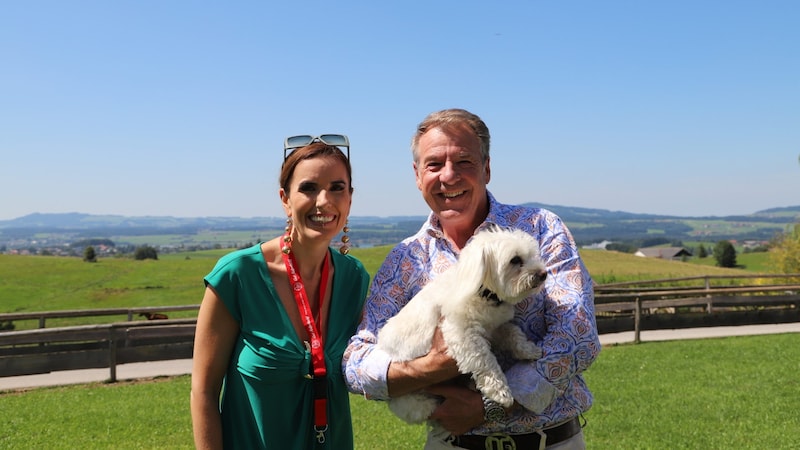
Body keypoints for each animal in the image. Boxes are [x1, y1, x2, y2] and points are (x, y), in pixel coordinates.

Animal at [378, 227, 548, 424]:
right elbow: (485, 361)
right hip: (417, 401)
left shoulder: (495, 326)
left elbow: (513, 333)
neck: (483, 292)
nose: (543, 273)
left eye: (532, 255)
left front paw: (528, 350)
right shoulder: (462, 334)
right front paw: (500, 391)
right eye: (515, 260)